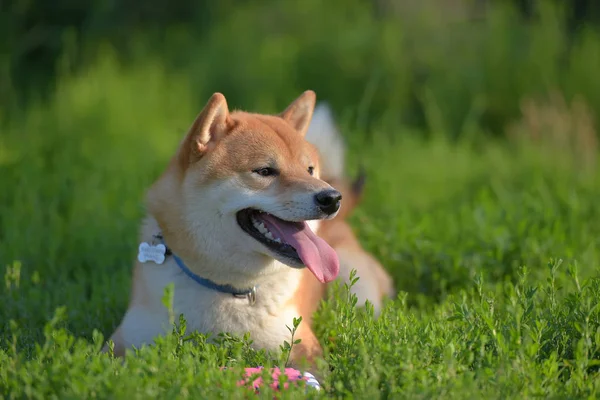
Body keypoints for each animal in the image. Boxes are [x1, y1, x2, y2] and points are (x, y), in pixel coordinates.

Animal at [105, 90, 396, 366]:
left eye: (310, 169)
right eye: (265, 171)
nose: (332, 198)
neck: (226, 288)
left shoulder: (301, 349)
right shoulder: (122, 342)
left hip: (354, 285)